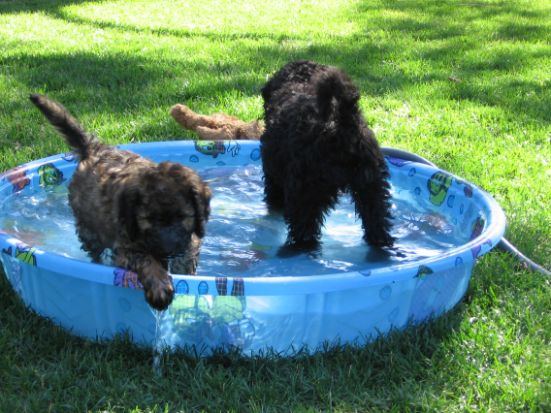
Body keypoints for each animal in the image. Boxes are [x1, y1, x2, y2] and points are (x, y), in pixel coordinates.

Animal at [30, 93, 211, 308]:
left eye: (183, 216)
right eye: (148, 220)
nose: (167, 249)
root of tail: (94, 149)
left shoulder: (189, 237)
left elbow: (187, 253)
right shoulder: (126, 247)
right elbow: (146, 259)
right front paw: (159, 287)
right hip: (88, 230)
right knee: (96, 253)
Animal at [260, 59, 394, 249]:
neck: (298, 82)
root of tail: (341, 125)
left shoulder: (273, 176)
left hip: (306, 191)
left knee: (304, 228)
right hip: (371, 185)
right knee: (377, 219)